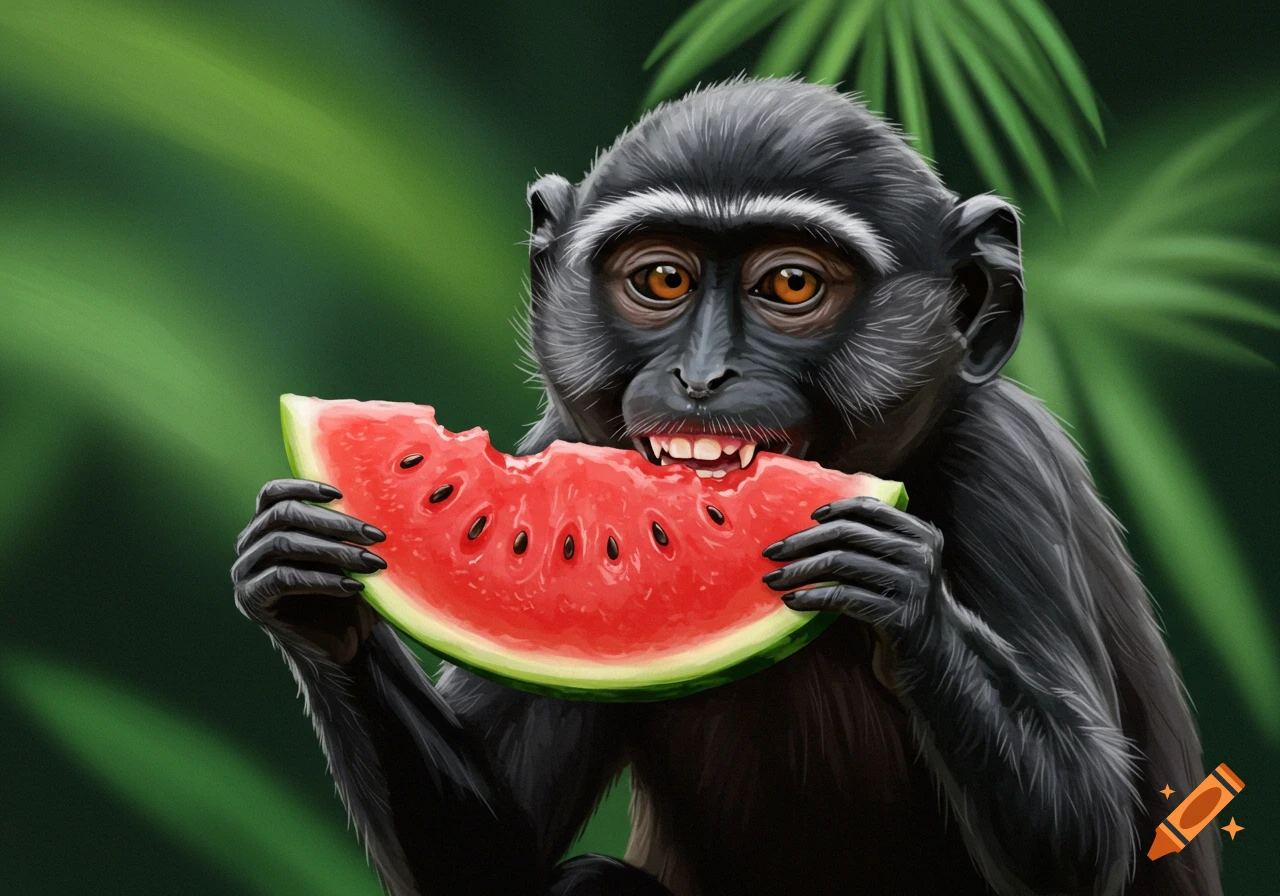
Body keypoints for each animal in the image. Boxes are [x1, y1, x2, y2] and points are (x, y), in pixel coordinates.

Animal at [231, 79, 1221, 896]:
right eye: (663, 278)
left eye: (791, 284)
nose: (703, 374)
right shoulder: (566, 435)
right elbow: (490, 858)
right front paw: (301, 581)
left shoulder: (1007, 473)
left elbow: (1088, 830)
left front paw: (901, 590)